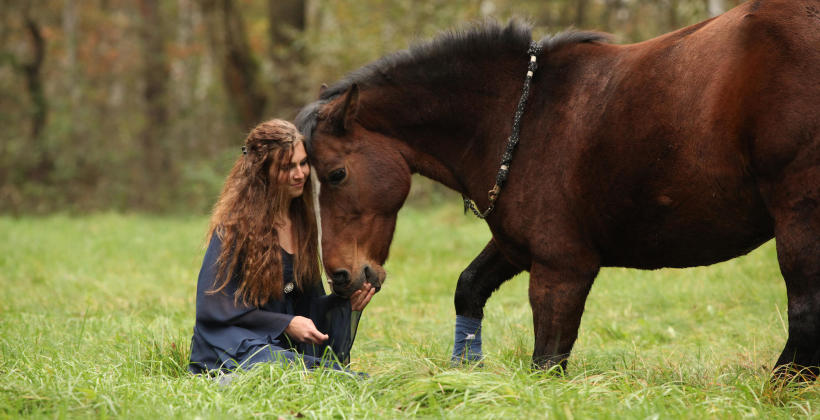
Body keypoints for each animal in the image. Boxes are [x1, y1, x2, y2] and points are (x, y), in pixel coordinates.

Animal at [296, 0, 820, 376]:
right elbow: (469, 288)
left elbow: (548, 360)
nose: (341, 276)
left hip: (799, 214)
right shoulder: (518, 246)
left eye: (336, 174)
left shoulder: (560, 268)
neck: (521, 114)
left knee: (805, 310)